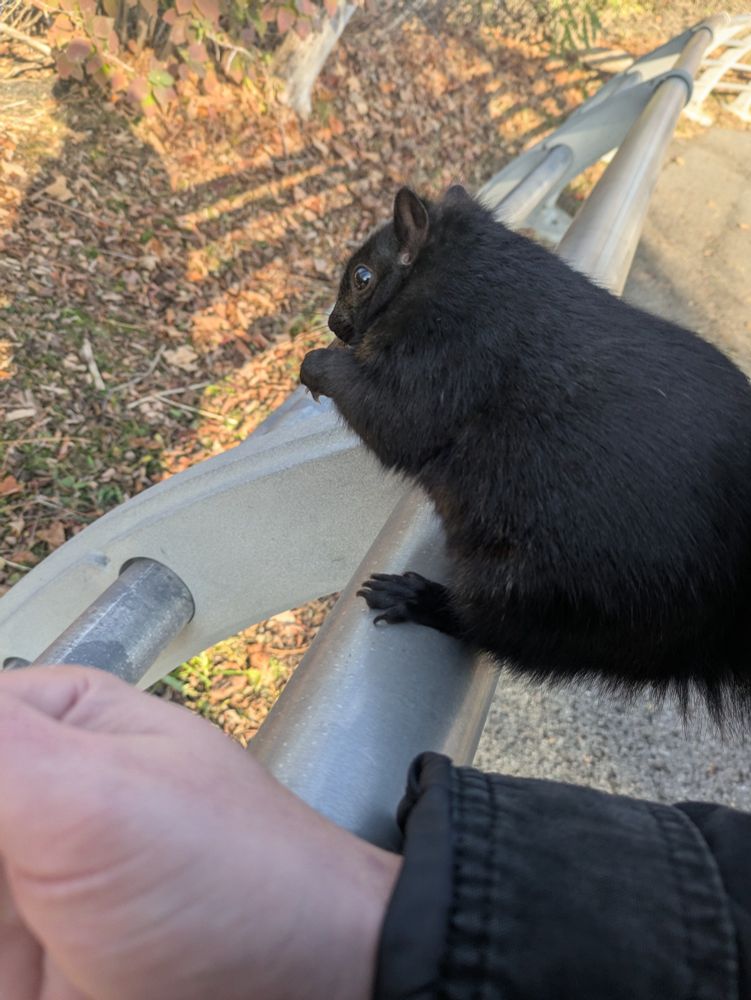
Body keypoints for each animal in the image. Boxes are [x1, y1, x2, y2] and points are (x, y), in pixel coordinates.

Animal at [300, 185, 751, 721]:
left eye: (362, 277)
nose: (335, 323)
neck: (459, 272)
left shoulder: (452, 355)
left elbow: (396, 420)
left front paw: (317, 366)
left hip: (545, 592)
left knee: (492, 630)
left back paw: (419, 599)